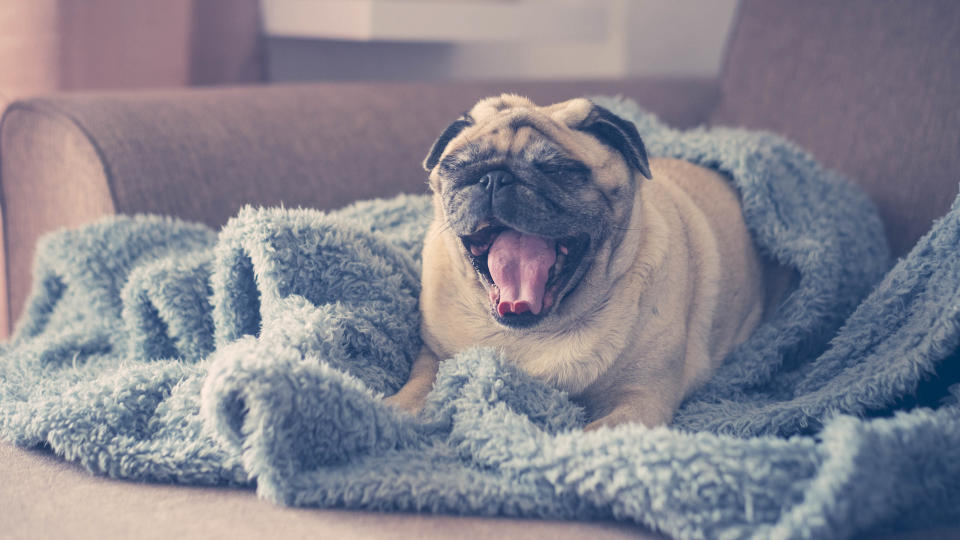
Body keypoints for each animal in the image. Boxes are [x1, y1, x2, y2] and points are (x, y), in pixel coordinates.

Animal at [386, 94, 768, 430]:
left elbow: (593, 436)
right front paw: (393, 410)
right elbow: (423, 380)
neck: (533, 334)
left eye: (557, 170)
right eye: (459, 167)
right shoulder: (433, 353)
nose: (494, 177)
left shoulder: (641, 400)